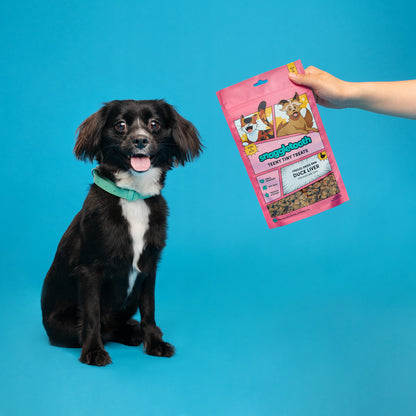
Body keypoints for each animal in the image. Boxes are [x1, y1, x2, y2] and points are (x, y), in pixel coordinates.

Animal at [41, 99, 202, 366]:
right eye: (120, 125)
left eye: (154, 124)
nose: (140, 140)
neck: (133, 195)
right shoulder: (89, 271)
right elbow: (92, 316)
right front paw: (93, 351)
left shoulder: (149, 265)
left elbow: (149, 310)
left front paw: (154, 342)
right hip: (64, 325)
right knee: (100, 328)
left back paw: (136, 331)